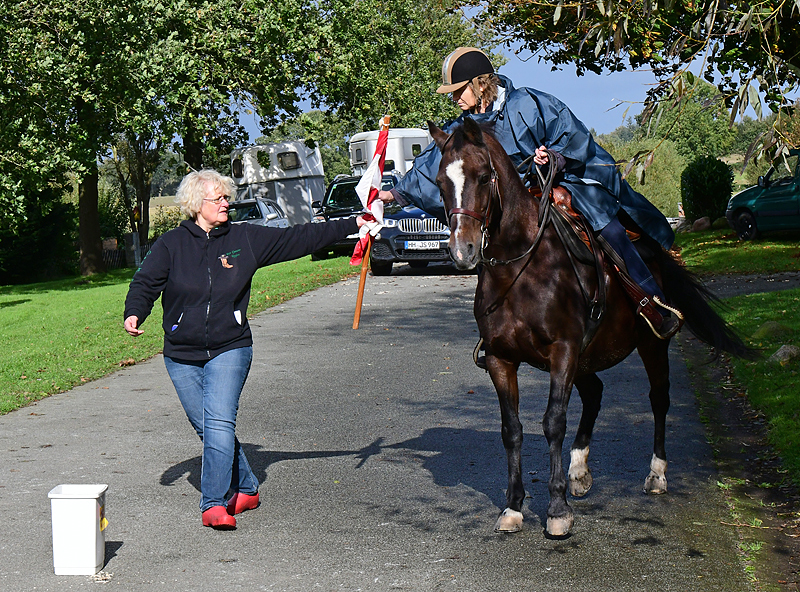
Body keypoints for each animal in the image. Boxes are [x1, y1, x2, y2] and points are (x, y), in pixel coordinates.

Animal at [428, 119, 752, 536]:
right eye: (440, 182)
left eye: (483, 176)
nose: (462, 250)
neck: (520, 272)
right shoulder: (502, 359)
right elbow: (511, 429)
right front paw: (514, 506)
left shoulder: (562, 351)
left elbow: (553, 423)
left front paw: (556, 509)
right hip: (586, 358)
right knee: (595, 393)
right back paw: (579, 470)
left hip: (649, 346)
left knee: (658, 399)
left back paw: (656, 474)